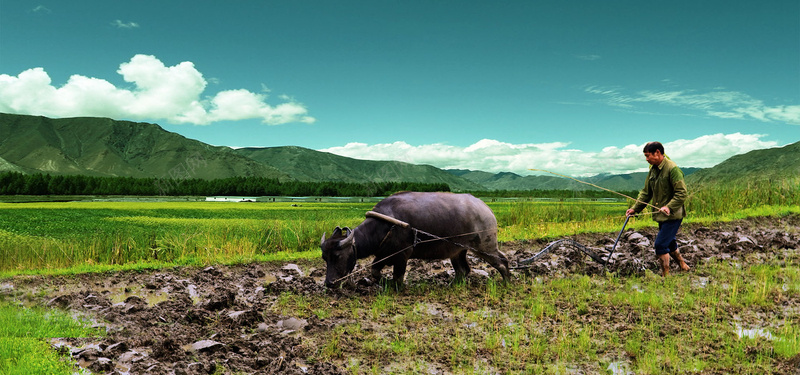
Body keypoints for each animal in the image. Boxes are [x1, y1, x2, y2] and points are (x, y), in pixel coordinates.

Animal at [320, 192, 512, 290]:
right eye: (325, 258)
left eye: (337, 256)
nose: (329, 283)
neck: (385, 226)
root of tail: (486, 209)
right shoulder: (384, 254)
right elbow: (374, 270)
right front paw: (382, 282)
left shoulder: (401, 256)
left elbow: (398, 276)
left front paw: (395, 286)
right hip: (457, 251)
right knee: (463, 270)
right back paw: (453, 284)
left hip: (485, 246)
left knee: (502, 261)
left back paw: (507, 282)